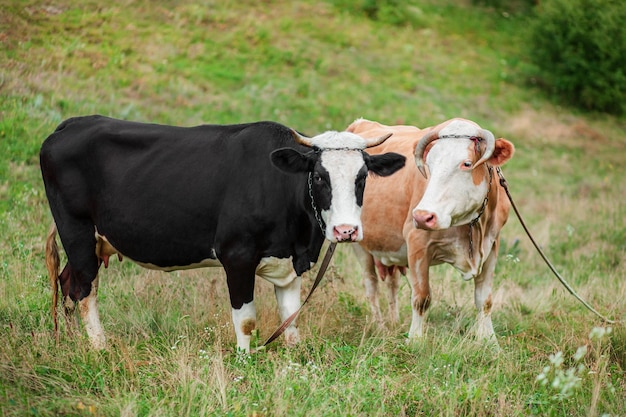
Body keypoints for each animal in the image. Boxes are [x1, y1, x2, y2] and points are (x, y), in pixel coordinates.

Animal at [40, 114, 404, 352]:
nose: (347, 230)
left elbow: (291, 318)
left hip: (93, 242)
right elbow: (246, 320)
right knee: (84, 288)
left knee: (68, 282)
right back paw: (99, 348)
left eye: (362, 177)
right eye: (318, 176)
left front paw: (294, 357)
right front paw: (245, 363)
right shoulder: (237, 255)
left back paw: (71, 341)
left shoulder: (290, 264)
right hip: (76, 230)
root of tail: (72, 123)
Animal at [346, 118, 512, 344]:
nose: (422, 216)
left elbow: (484, 300)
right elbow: (421, 298)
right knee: (371, 286)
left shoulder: (492, 246)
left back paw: (394, 322)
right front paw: (415, 340)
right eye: (429, 165)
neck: (473, 225)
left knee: (392, 284)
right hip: (359, 244)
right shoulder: (417, 244)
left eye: (466, 164)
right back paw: (379, 327)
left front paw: (490, 341)